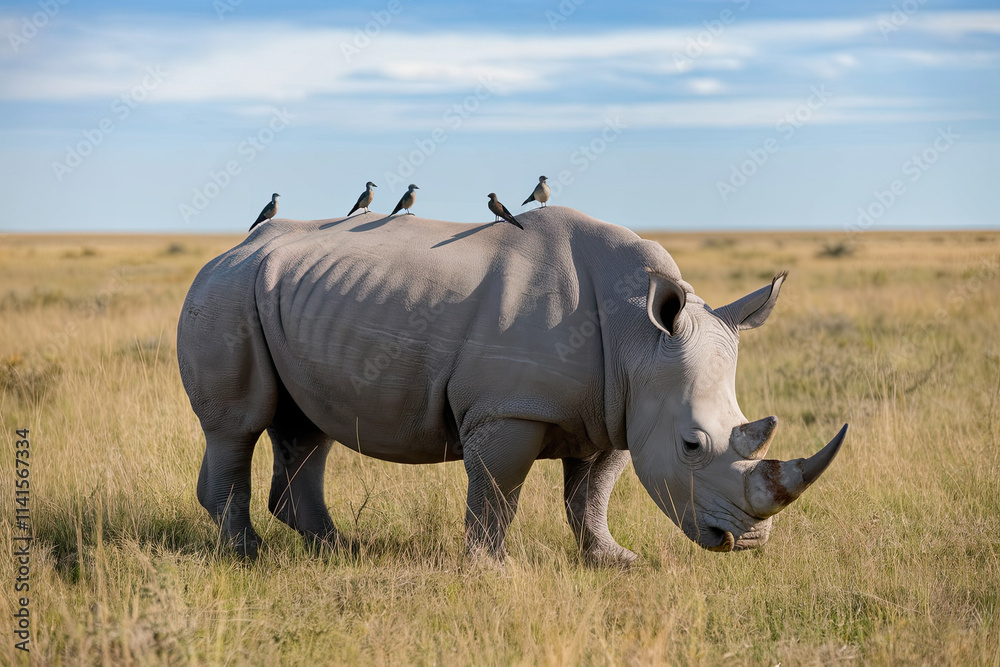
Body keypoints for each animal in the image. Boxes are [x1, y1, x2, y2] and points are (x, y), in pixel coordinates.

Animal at [176, 206, 847, 563]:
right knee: (238, 425)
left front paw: (613, 560)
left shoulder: (619, 409)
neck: (638, 335)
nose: (749, 541)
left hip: (281, 295)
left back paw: (340, 550)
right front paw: (489, 568)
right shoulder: (509, 409)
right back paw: (248, 554)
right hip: (225, 293)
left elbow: (592, 494)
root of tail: (228, 250)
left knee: (308, 425)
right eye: (691, 446)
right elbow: (499, 489)